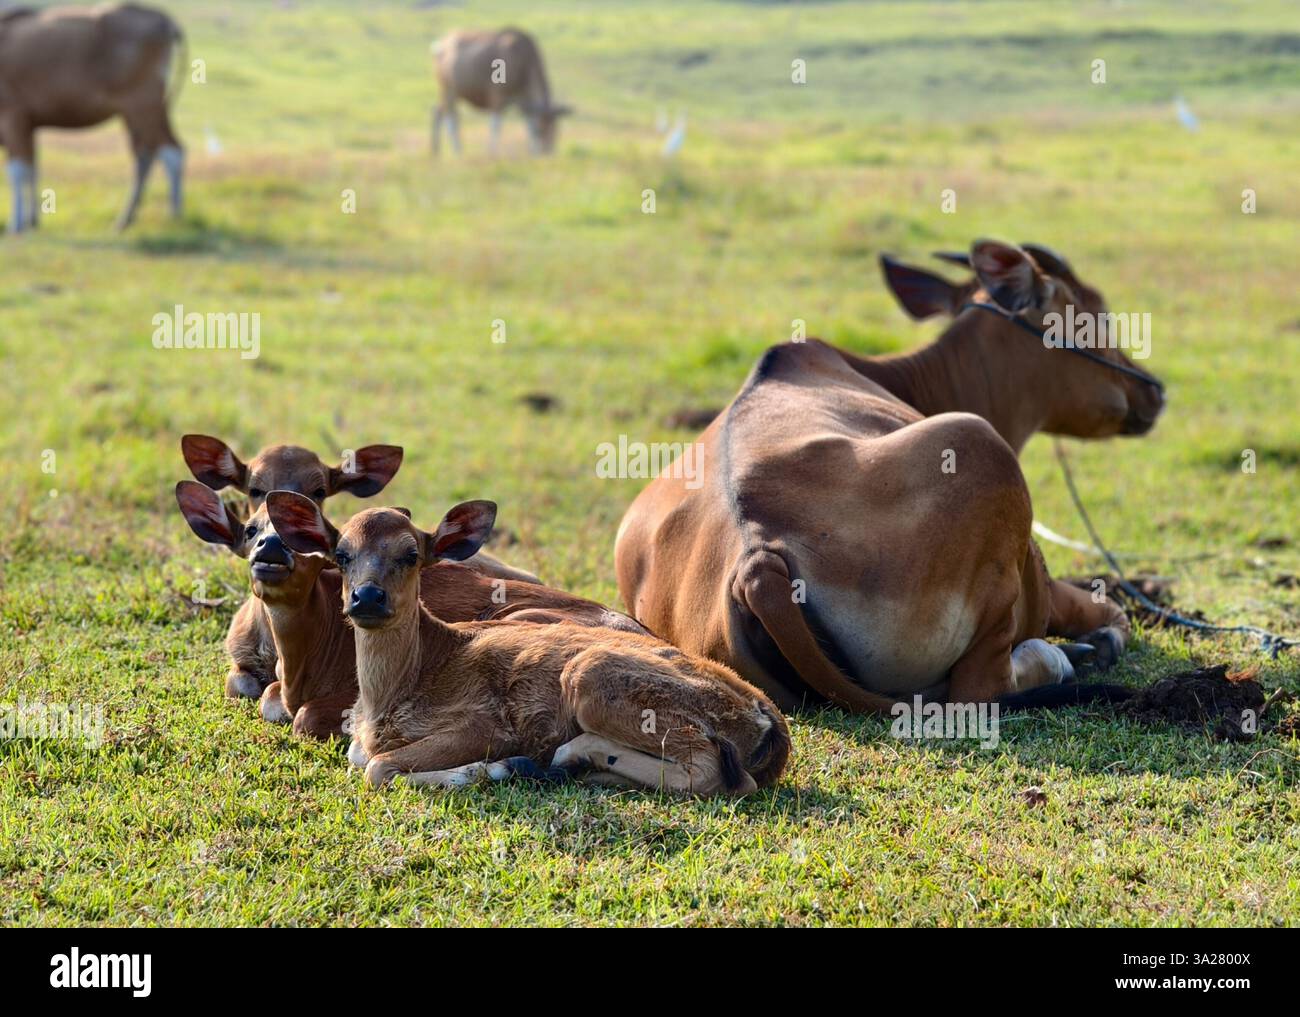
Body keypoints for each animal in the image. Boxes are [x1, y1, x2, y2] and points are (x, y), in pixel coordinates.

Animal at [0, 3, 185, 233]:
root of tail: (164, 21)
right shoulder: (29, 124)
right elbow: (32, 166)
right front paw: (31, 219)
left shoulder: (12, 116)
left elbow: (17, 170)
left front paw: (16, 224)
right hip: (138, 112)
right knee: (146, 154)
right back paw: (127, 218)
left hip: (144, 105)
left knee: (172, 152)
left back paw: (174, 215)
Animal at [430, 28, 571, 156]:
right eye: (541, 130)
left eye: (556, 130)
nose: (547, 151)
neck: (522, 60)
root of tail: (441, 46)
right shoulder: (497, 97)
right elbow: (496, 125)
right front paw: (493, 153)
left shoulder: (523, 100)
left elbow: (529, 124)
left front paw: (533, 152)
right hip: (449, 91)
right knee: (451, 119)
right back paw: (458, 152)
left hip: (450, 94)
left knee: (437, 111)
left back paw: (436, 152)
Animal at [614, 239, 1165, 715]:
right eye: (1096, 312)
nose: (1155, 389)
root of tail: (758, 559)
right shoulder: (1046, 586)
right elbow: (1112, 616)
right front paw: (1093, 643)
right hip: (979, 450)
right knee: (980, 690)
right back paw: (1057, 659)